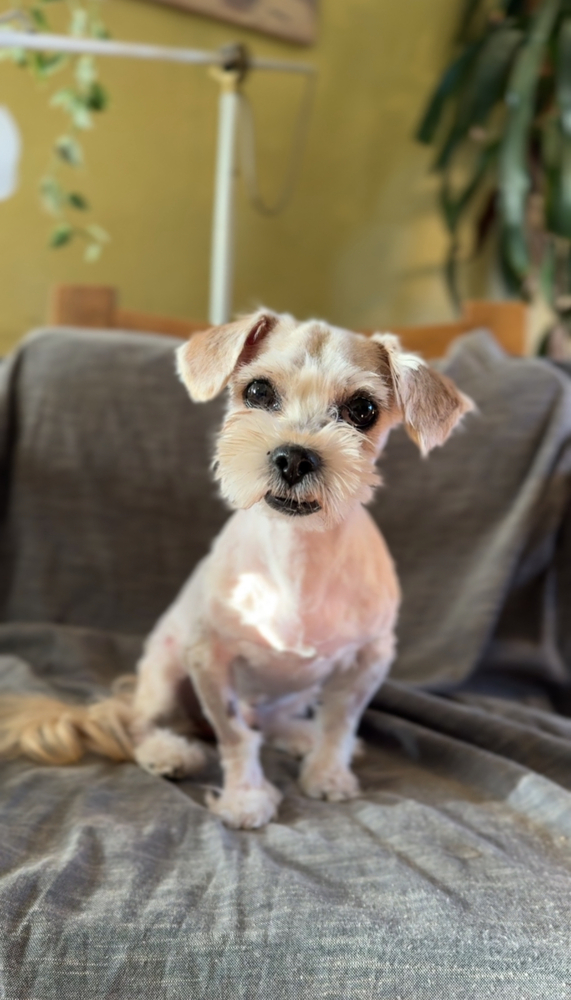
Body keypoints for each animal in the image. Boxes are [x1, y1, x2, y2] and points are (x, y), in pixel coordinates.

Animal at [0, 310, 474, 828]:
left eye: (363, 409)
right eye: (258, 391)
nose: (295, 456)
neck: (297, 556)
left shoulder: (369, 658)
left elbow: (339, 723)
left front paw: (328, 773)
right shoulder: (210, 657)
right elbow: (234, 734)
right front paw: (245, 797)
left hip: (297, 689)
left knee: (272, 719)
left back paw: (298, 736)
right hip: (164, 671)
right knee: (144, 724)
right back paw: (168, 751)